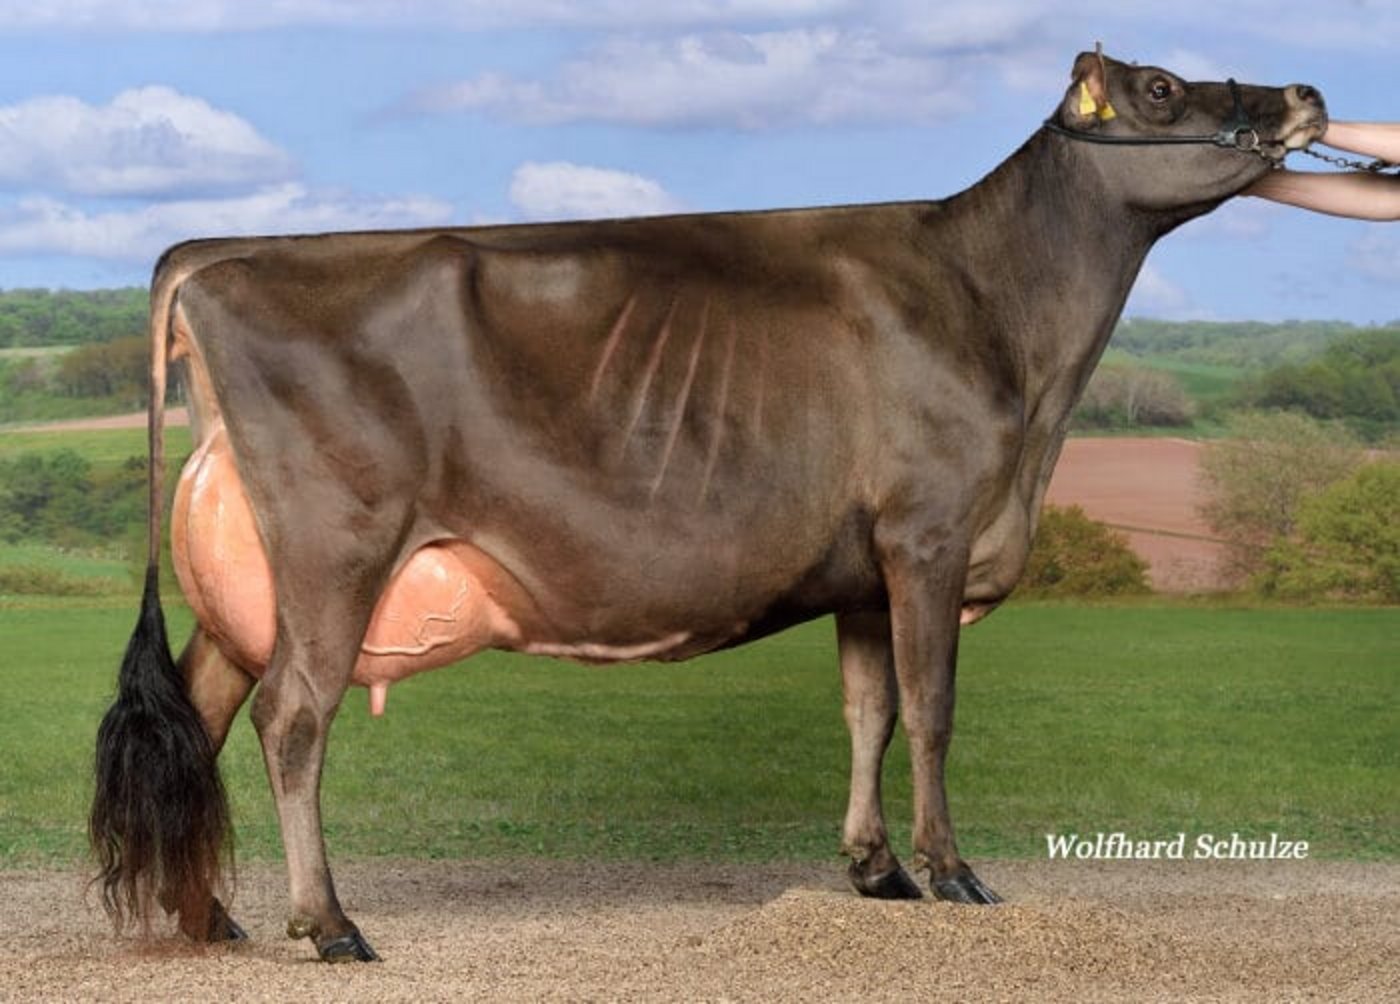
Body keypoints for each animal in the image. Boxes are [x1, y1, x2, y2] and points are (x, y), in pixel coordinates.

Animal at [90, 48, 1326, 962]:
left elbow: (868, 710)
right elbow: (931, 710)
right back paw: (331, 924)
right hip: (334, 548)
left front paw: (876, 870)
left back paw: (210, 918)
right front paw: (953, 872)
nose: (1305, 93)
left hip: (249, 587)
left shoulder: (862, 567)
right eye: (1162, 88)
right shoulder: (928, 533)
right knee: (292, 718)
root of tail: (219, 254)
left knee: (203, 713)